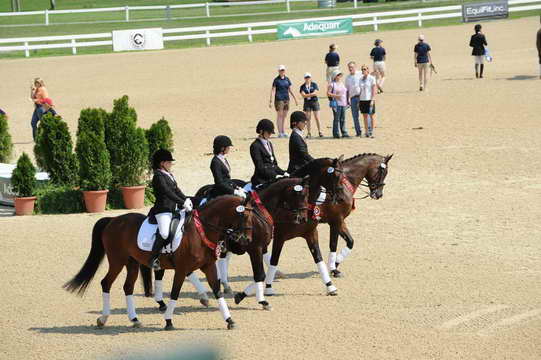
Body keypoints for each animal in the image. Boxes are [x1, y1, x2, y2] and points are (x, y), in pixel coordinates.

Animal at [64, 195, 254, 330]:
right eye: (244, 215)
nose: (246, 240)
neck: (201, 230)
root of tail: (113, 220)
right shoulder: (182, 269)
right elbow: (175, 293)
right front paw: (168, 321)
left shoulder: (208, 267)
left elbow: (217, 291)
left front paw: (229, 320)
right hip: (117, 261)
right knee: (106, 283)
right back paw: (103, 319)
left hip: (132, 264)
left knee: (128, 287)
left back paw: (135, 320)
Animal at [236, 153, 392, 302]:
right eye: (382, 172)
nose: (378, 194)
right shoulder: (335, 221)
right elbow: (333, 245)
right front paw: (334, 268)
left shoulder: (333, 224)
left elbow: (349, 242)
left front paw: (334, 269)